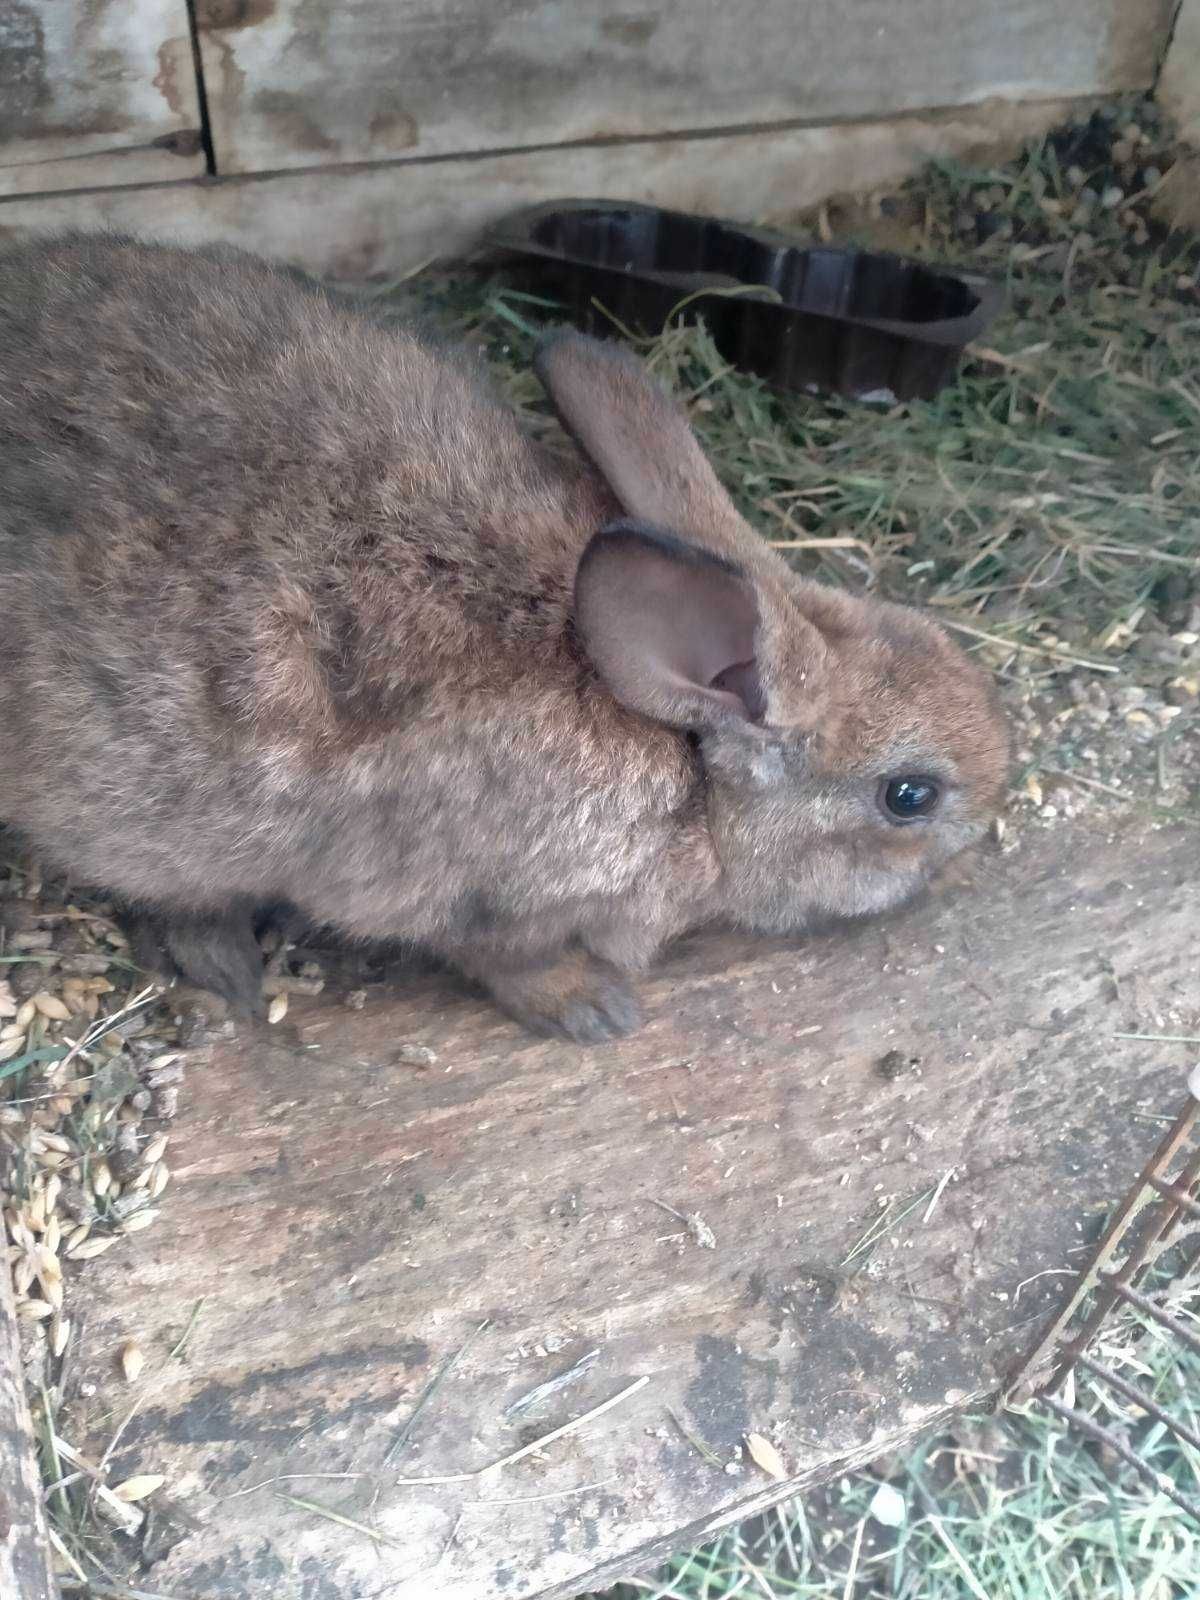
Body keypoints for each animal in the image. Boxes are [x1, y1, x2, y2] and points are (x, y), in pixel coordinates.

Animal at [0, 233, 1017, 1036]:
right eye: (911, 796)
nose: (982, 837)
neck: (688, 770)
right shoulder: (487, 896)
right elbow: (510, 961)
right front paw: (594, 1011)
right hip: (141, 810)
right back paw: (223, 966)